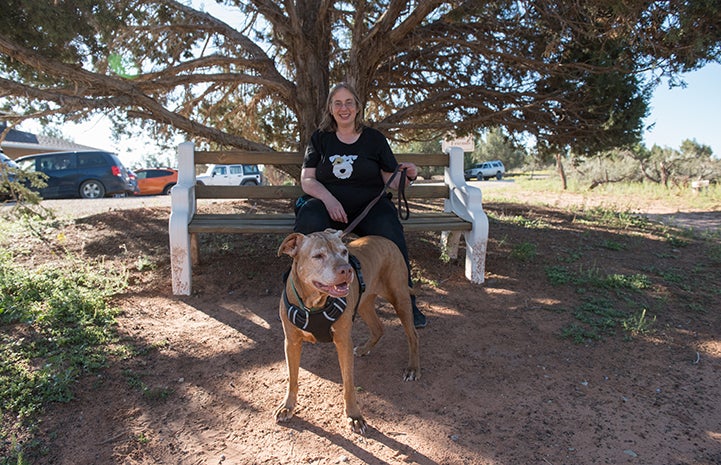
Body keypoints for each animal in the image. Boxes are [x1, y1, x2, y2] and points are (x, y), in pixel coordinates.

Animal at [272, 229, 420, 436]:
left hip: (400, 299)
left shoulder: (343, 343)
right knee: (379, 327)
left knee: (412, 335)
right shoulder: (291, 343)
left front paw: (354, 416)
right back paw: (364, 349)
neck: (314, 304)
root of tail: (387, 240)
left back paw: (413, 368)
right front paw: (287, 406)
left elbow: (348, 384)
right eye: (318, 256)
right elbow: (292, 378)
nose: (346, 270)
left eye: (344, 252)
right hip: (365, 303)